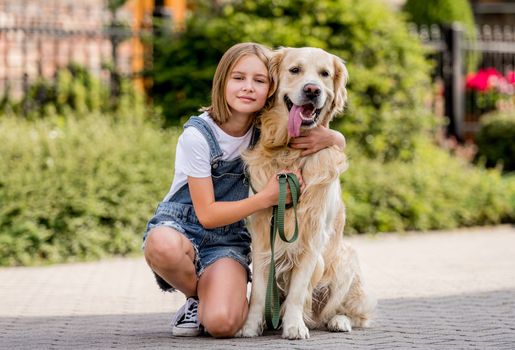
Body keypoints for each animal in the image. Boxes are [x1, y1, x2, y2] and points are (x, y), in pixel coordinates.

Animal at [240, 47, 376, 340]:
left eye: (324, 74)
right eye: (295, 70)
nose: (313, 90)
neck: (289, 152)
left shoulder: (312, 236)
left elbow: (297, 291)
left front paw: (293, 326)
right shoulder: (261, 233)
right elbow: (258, 291)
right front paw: (250, 326)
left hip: (346, 259)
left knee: (344, 313)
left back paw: (338, 321)